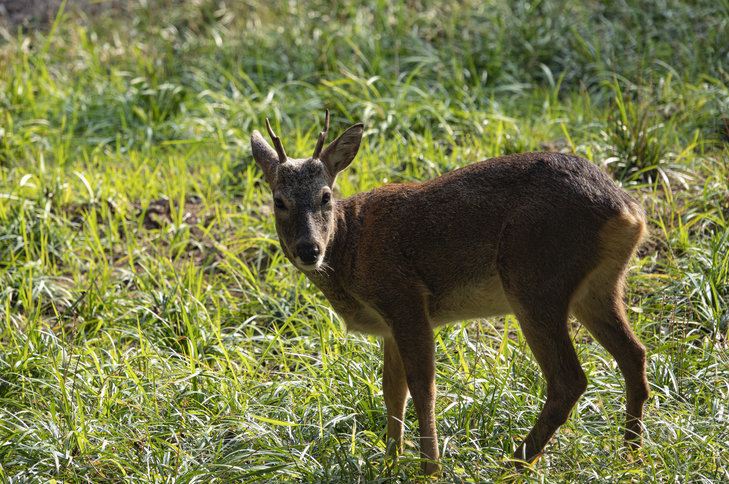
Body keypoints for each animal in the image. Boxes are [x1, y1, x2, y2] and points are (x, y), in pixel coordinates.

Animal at [250, 110, 648, 476]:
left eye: (325, 196)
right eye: (279, 201)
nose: (308, 249)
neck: (350, 246)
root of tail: (627, 209)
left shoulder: (405, 297)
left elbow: (422, 386)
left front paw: (430, 468)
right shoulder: (389, 325)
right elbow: (392, 390)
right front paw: (389, 463)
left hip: (534, 277)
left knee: (569, 379)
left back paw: (512, 464)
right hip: (597, 287)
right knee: (634, 353)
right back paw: (631, 455)